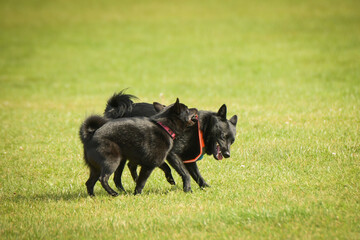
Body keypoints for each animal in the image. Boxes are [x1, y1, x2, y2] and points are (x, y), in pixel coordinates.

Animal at [104, 91, 238, 192]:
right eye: (223, 136)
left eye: (232, 141)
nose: (227, 154)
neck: (200, 128)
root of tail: (113, 110)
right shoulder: (172, 154)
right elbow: (186, 174)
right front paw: (187, 189)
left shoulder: (189, 159)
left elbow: (197, 175)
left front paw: (205, 187)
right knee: (117, 176)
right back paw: (122, 190)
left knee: (131, 166)